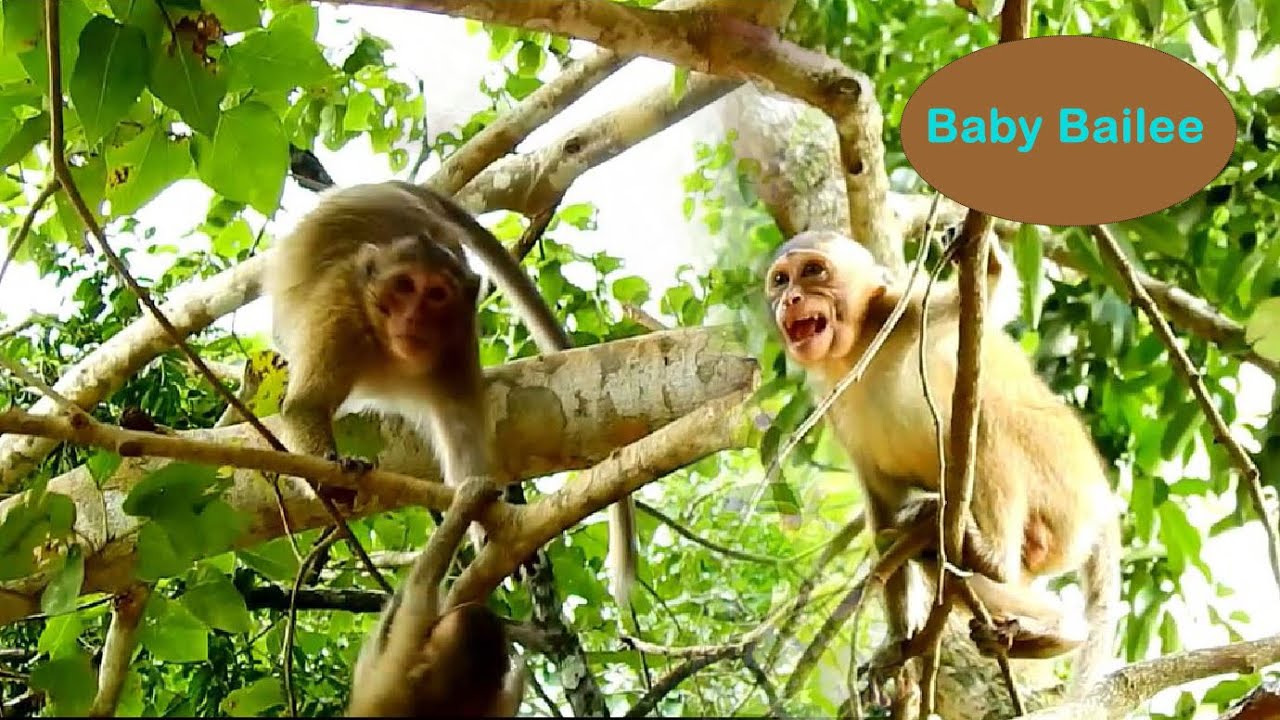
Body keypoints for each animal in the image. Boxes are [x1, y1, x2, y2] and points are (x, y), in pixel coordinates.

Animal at [264, 180, 641, 589]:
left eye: (436, 295)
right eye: (404, 286)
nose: (413, 318)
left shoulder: (457, 340)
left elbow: (461, 433)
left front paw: (482, 525)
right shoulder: (341, 314)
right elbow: (306, 404)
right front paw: (332, 473)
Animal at [763, 229, 1122, 697]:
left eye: (812, 271)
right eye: (780, 280)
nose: (790, 299)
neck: (856, 346)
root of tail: (1102, 496)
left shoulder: (908, 308)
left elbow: (985, 303)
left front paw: (986, 260)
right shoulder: (831, 400)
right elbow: (883, 514)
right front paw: (895, 645)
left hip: (1064, 488)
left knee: (983, 410)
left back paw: (995, 559)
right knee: (930, 550)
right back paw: (1052, 631)